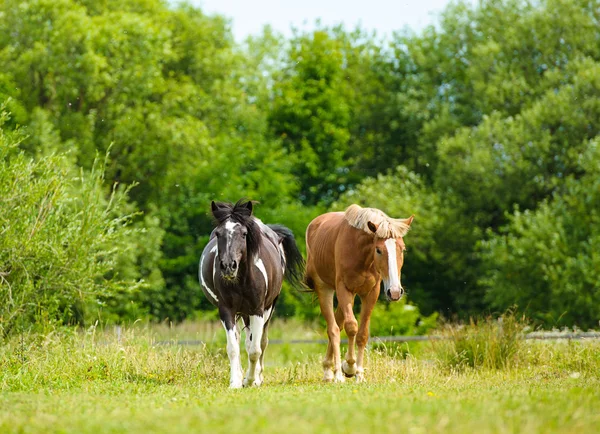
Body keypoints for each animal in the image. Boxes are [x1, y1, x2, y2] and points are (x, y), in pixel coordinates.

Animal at [199, 199, 304, 386]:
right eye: (218, 234)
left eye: (243, 234)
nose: (228, 266)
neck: (242, 281)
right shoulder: (226, 310)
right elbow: (233, 347)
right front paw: (236, 381)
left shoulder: (258, 310)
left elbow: (255, 349)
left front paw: (251, 380)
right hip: (242, 313)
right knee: (242, 340)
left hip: (267, 309)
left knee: (260, 342)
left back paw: (256, 377)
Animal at [304, 205, 412, 382]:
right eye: (378, 250)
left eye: (402, 249)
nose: (395, 292)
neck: (361, 254)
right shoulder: (344, 289)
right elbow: (351, 327)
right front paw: (348, 367)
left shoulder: (371, 293)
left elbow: (362, 333)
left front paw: (359, 374)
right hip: (325, 289)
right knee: (333, 329)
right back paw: (334, 373)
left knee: (338, 323)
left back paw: (329, 368)